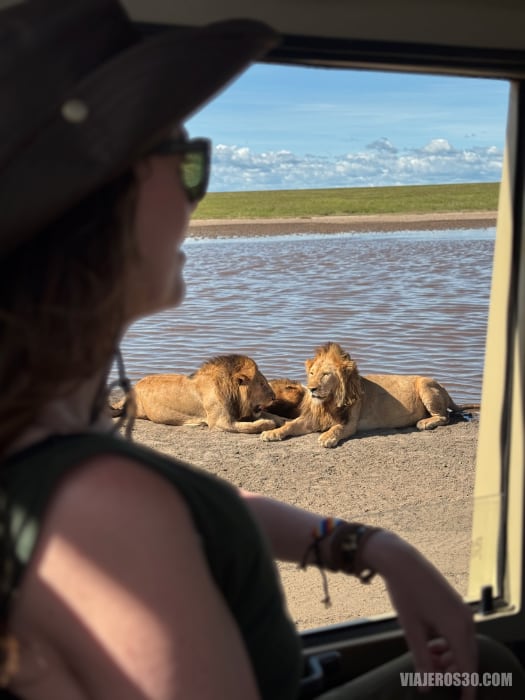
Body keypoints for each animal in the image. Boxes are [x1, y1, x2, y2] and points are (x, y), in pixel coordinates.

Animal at [110, 354, 284, 434]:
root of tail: (135, 386)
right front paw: (268, 424)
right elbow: (250, 426)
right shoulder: (221, 422)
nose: (274, 397)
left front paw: (282, 419)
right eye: (262, 384)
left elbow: (270, 415)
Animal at [261, 342, 480, 448]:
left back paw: (425, 422)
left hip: (425, 385)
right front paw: (272, 433)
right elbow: (290, 425)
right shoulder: (311, 419)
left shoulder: (349, 423)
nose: (312, 388)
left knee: (444, 416)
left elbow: (337, 428)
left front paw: (327, 438)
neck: (328, 402)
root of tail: (444, 388)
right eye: (312, 373)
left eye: (325, 375)